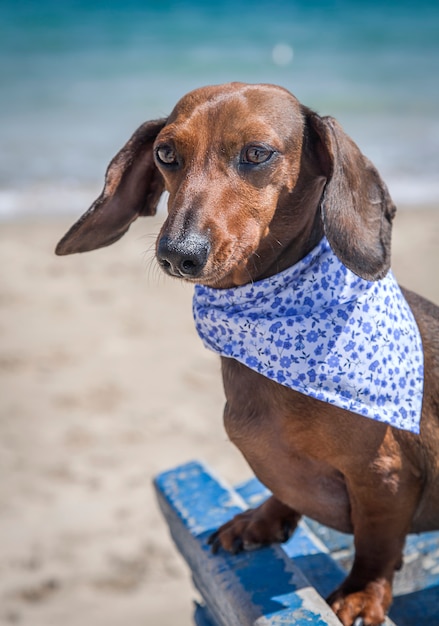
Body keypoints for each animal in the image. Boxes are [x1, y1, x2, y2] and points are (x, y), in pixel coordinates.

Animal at [56, 84, 438, 624]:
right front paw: (263, 518)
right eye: (165, 154)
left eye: (257, 154)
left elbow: (377, 545)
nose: (178, 253)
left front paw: (362, 592)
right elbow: (281, 488)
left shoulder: (386, 477)